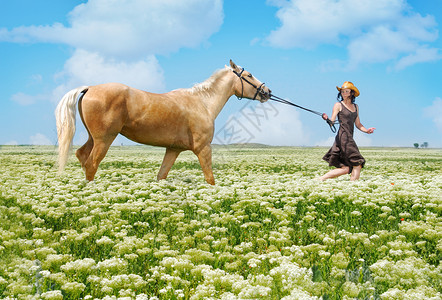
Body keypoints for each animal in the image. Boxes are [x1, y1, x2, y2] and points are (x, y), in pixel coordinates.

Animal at [56, 59, 272, 184]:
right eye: (249, 75)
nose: (267, 92)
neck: (202, 102)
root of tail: (90, 88)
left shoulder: (172, 150)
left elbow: (162, 175)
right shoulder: (203, 148)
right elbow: (210, 178)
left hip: (93, 138)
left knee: (82, 156)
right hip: (104, 140)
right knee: (91, 164)